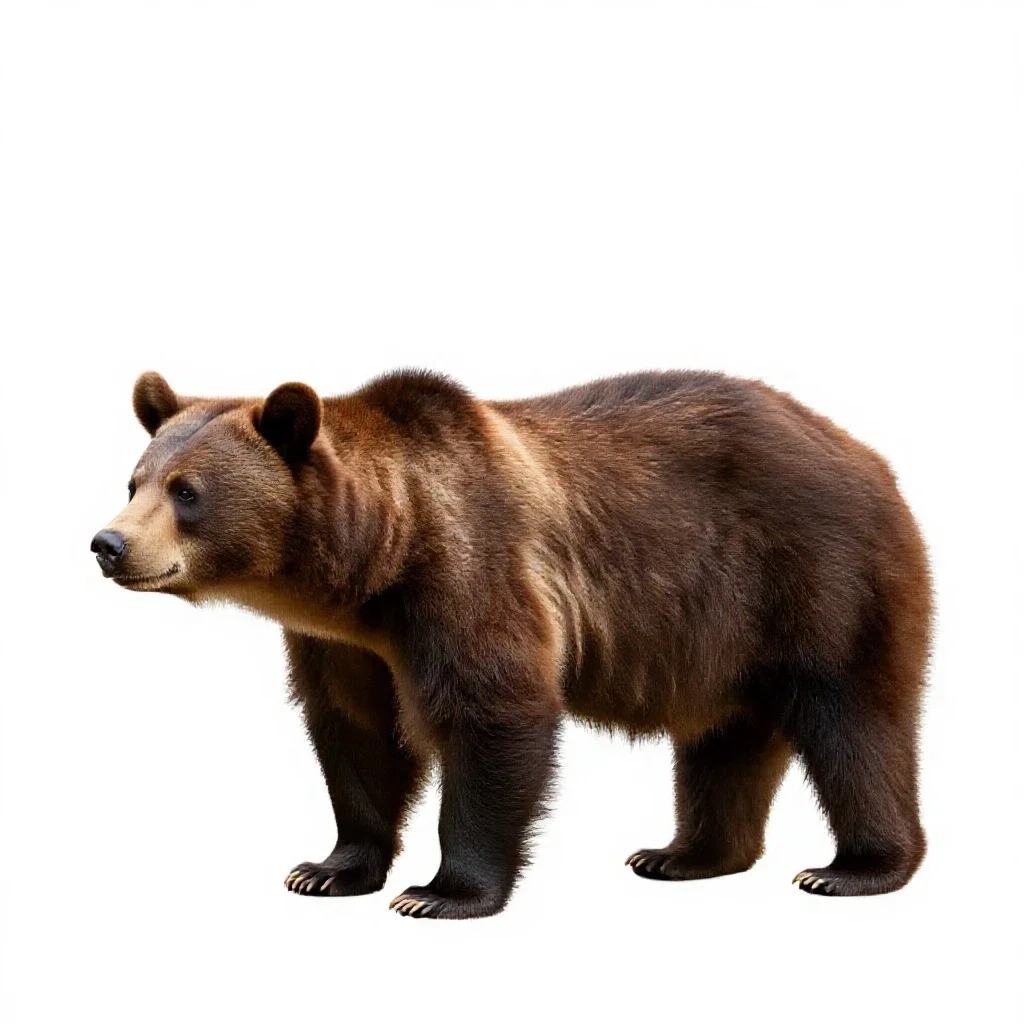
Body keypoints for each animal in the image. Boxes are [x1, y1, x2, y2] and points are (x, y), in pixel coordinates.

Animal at [92, 368, 931, 918]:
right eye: (135, 481)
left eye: (188, 492)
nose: (108, 544)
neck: (373, 566)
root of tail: (868, 454)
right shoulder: (344, 644)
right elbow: (355, 735)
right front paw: (328, 869)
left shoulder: (471, 572)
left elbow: (492, 713)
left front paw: (439, 893)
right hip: (721, 637)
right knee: (726, 741)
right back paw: (681, 855)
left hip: (817, 577)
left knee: (854, 723)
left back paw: (852, 869)